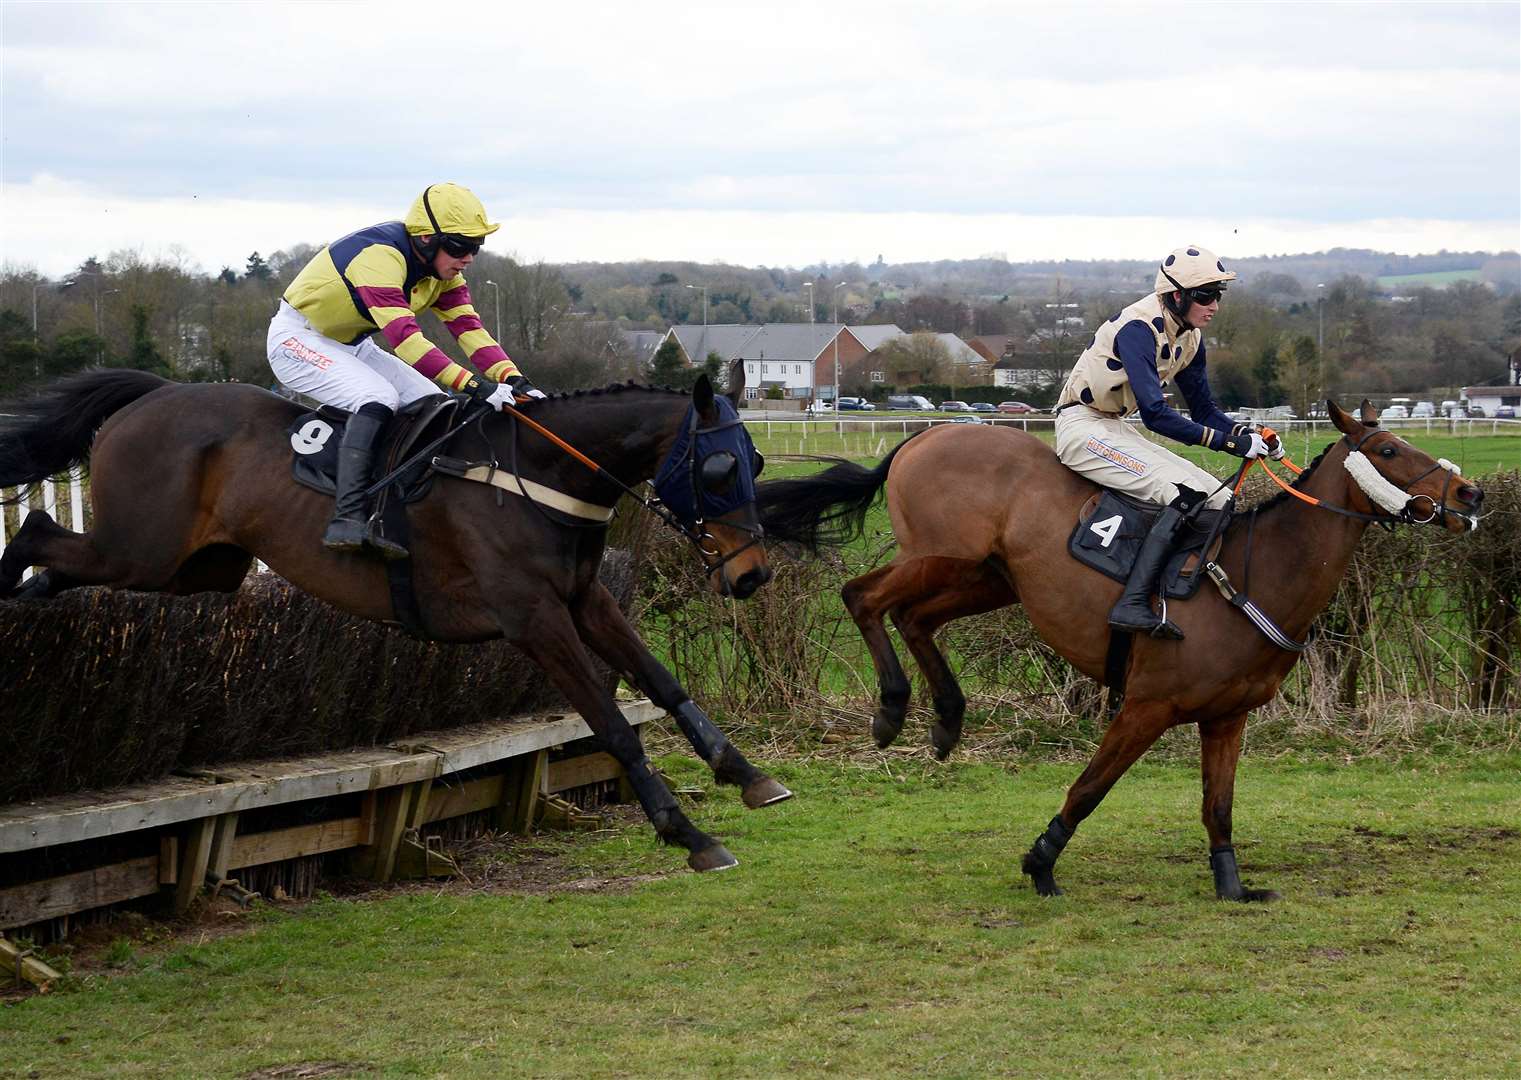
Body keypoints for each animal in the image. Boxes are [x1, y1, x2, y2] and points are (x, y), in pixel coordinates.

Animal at [0, 368, 784, 876]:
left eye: (756, 459)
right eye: (719, 469)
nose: (752, 575)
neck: (538, 474)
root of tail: (153, 395)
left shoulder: (585, 599)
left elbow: (664, 683)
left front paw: (744, 773)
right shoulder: (532, 618)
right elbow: (613, 724)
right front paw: (685, 833)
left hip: (194, 568)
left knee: (63, 560)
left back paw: (35, 598)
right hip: (142, 547)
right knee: (37, 527)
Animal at [760, 401, 1484, 900]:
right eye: (1387, 448)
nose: (1469, 492)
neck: (1253, 572)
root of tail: (927, 434)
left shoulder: (1227, 717)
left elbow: (1218, 808)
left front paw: (1231, 885)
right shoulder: (1145, 707)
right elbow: (1088, 789)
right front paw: (1040, 863)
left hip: (987, 579)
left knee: (912, 619)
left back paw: (945, 718)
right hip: (943, 557)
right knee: (862, 596)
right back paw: (890, 709)